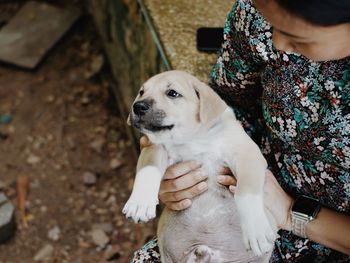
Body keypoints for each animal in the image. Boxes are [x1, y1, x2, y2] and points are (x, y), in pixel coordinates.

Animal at [121, 71, 278, 262]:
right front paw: (139, 203)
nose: (138, 106)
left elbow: (245, 192)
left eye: (172, 93)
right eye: (141, 92)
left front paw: (255, 229)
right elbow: (147, 170)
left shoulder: (246, 153)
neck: (192, 137)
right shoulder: (153, 147)